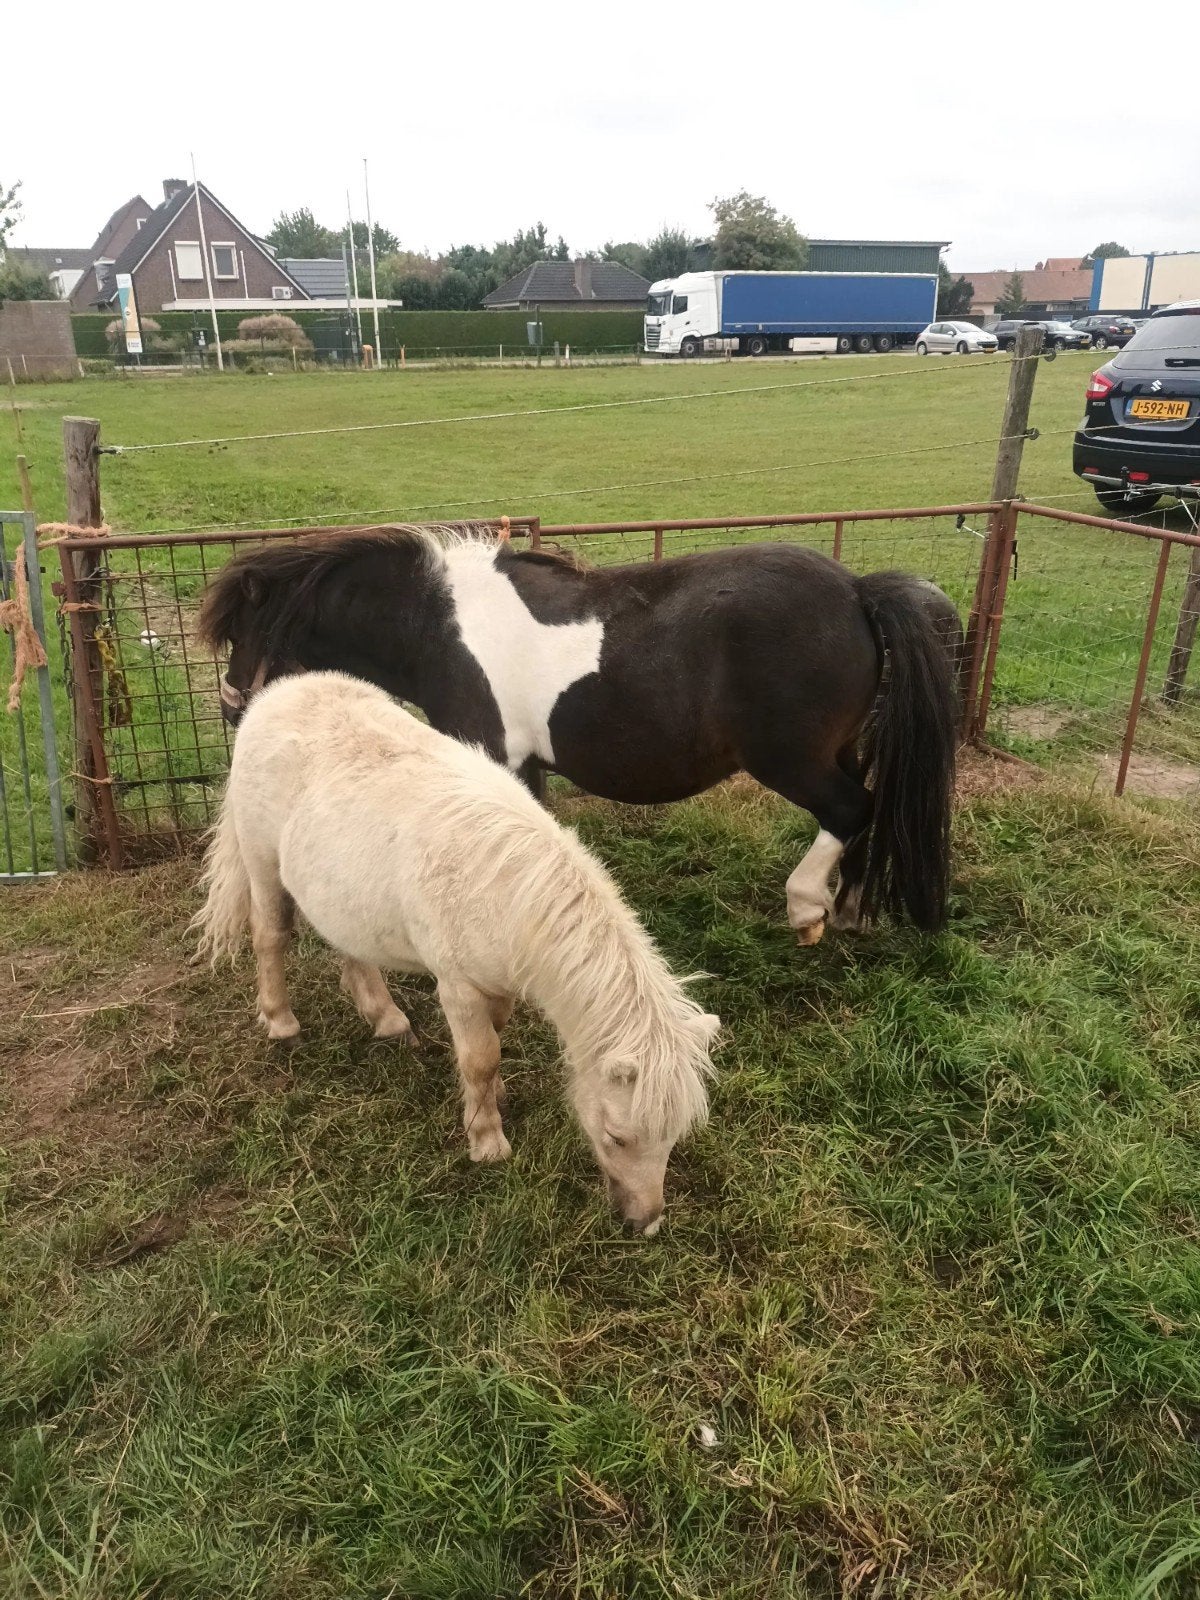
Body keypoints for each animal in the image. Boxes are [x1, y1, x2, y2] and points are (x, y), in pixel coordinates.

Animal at [192, 671, 719, 1235]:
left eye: (675, 1136)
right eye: (618, 1137)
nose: (645, 1222)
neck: (506, 889)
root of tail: (276, 695)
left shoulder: (498, 982)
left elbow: (495, 1038)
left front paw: (494, 1100)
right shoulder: (458, 986)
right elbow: (480, 1057)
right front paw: (487, 1141)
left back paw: (385, 1018)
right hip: (262, 863)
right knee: (269, 936)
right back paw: (281, 1022)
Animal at [197, 527, 961, 944]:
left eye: (240, 632)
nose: (232, 704)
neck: (437, 626)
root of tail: (858, 591)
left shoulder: (494, 755)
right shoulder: (522, 763)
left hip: (792, 761)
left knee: (852, 809)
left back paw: (808, 907)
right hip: (835, 751)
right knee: (864, 810)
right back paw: (852, 905)